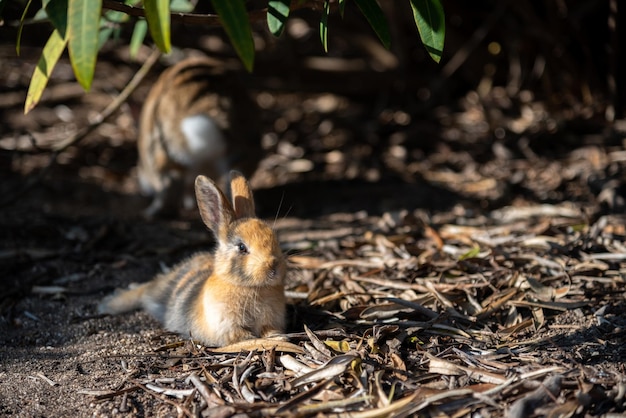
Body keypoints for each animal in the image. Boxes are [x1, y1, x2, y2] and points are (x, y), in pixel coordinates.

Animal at [98, 171, 286, 346]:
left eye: (275, 238)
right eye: (241, 247)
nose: (274, 267)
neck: (249, 287)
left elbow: (269, 329)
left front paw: (278, 337)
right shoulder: (227, 327)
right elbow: (240, 335)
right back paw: (109, 304)